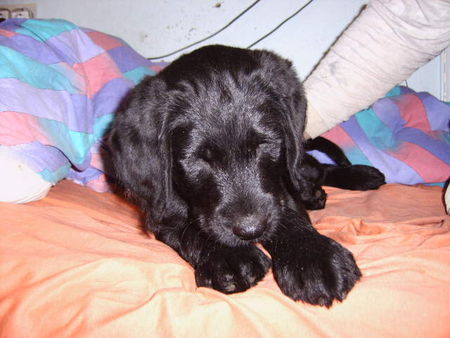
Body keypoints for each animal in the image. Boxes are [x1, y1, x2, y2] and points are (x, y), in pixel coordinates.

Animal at [107, 45, 384, 306]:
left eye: (265, 144)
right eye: (197, 159)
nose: (251, 231)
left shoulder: (278, 186)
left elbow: (288, 212)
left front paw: (313, 256)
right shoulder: (160, 211)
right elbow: (188, 228)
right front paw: (229, 256)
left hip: (297, 161)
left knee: (312, 167)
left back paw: (356, 176)